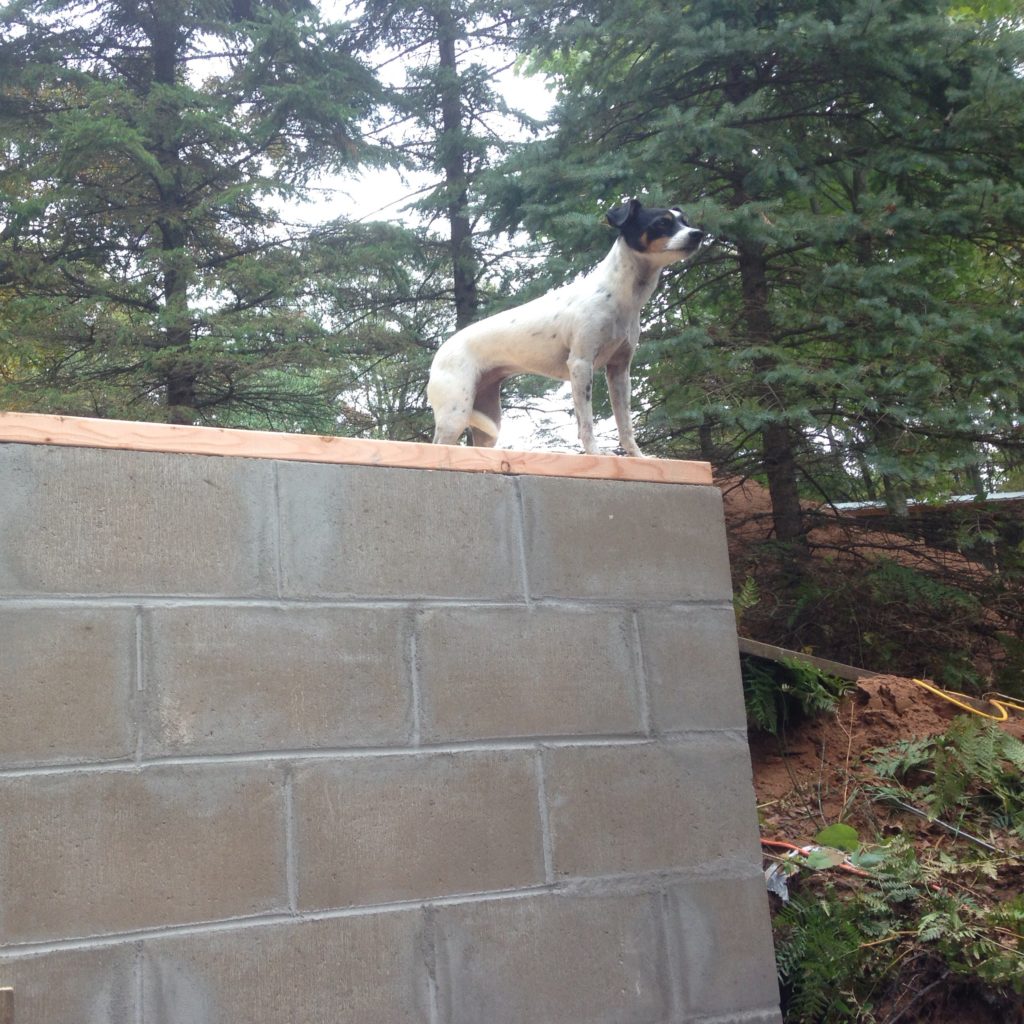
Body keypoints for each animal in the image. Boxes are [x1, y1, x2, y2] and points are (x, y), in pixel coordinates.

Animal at [425, 197, 704, 454]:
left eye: (685, 221)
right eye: (661, 223)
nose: (698, 234)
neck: (620, 295)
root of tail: (440, 354)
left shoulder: (619, 371)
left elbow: (625, 426)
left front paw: (637, 457)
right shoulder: (581, 364)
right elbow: (586, 424)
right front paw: (595, 455)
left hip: (488, 421)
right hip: (455, 414)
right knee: (436, 445)